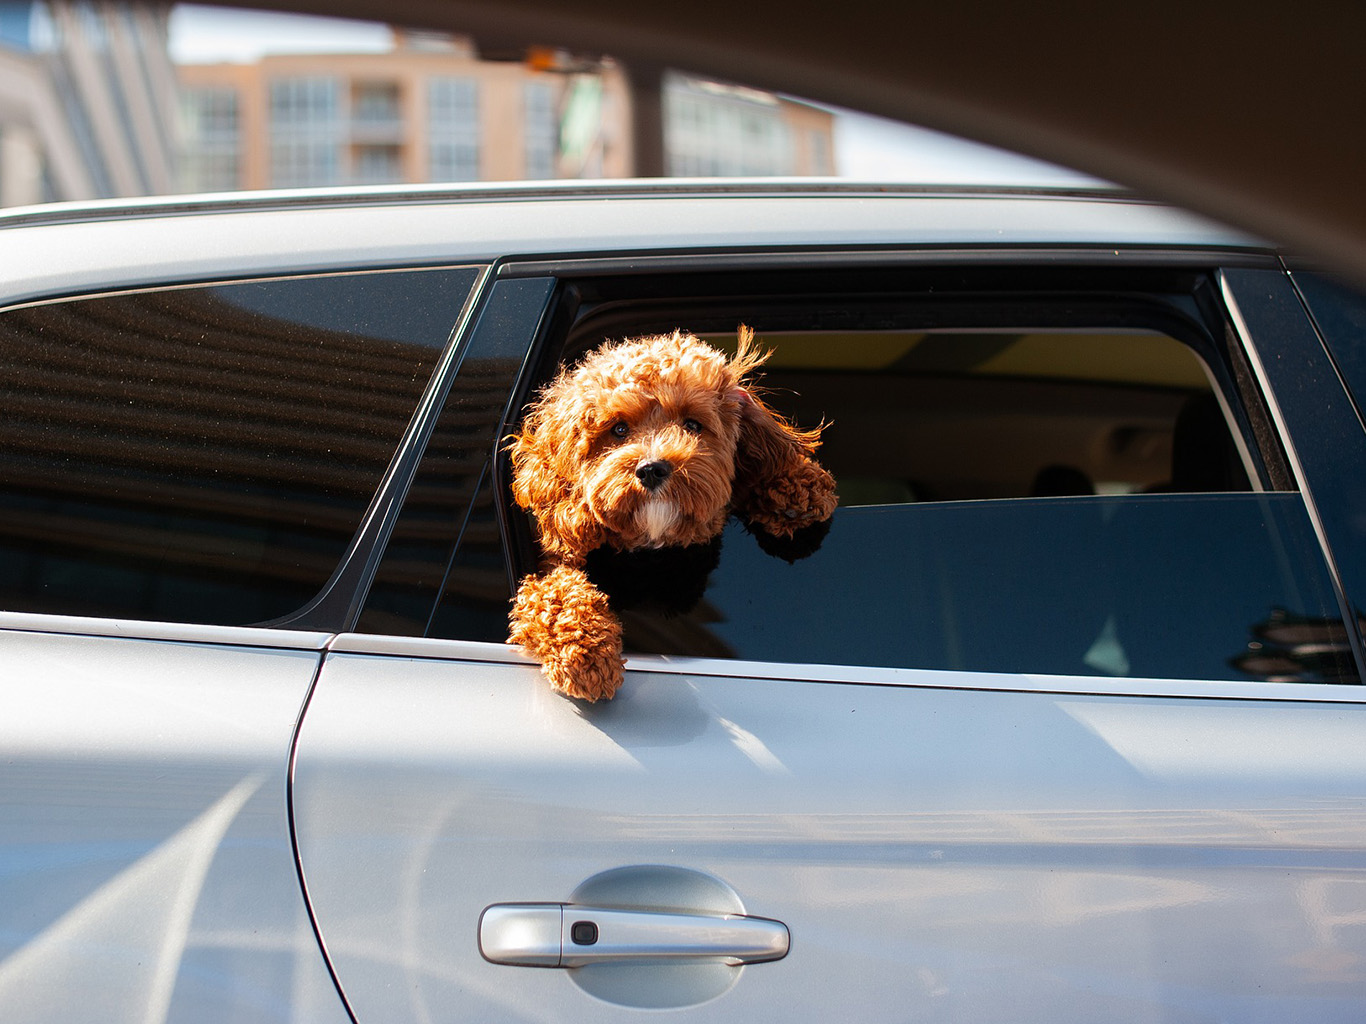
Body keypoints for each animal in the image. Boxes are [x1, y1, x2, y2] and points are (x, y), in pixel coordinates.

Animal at [508, 329, 835, 704]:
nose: (652, 469)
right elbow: (553, 594)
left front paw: (797, 484)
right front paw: (586, 654)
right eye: (619, 429)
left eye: (692, 424)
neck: (653, 547)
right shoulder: (549, 570)